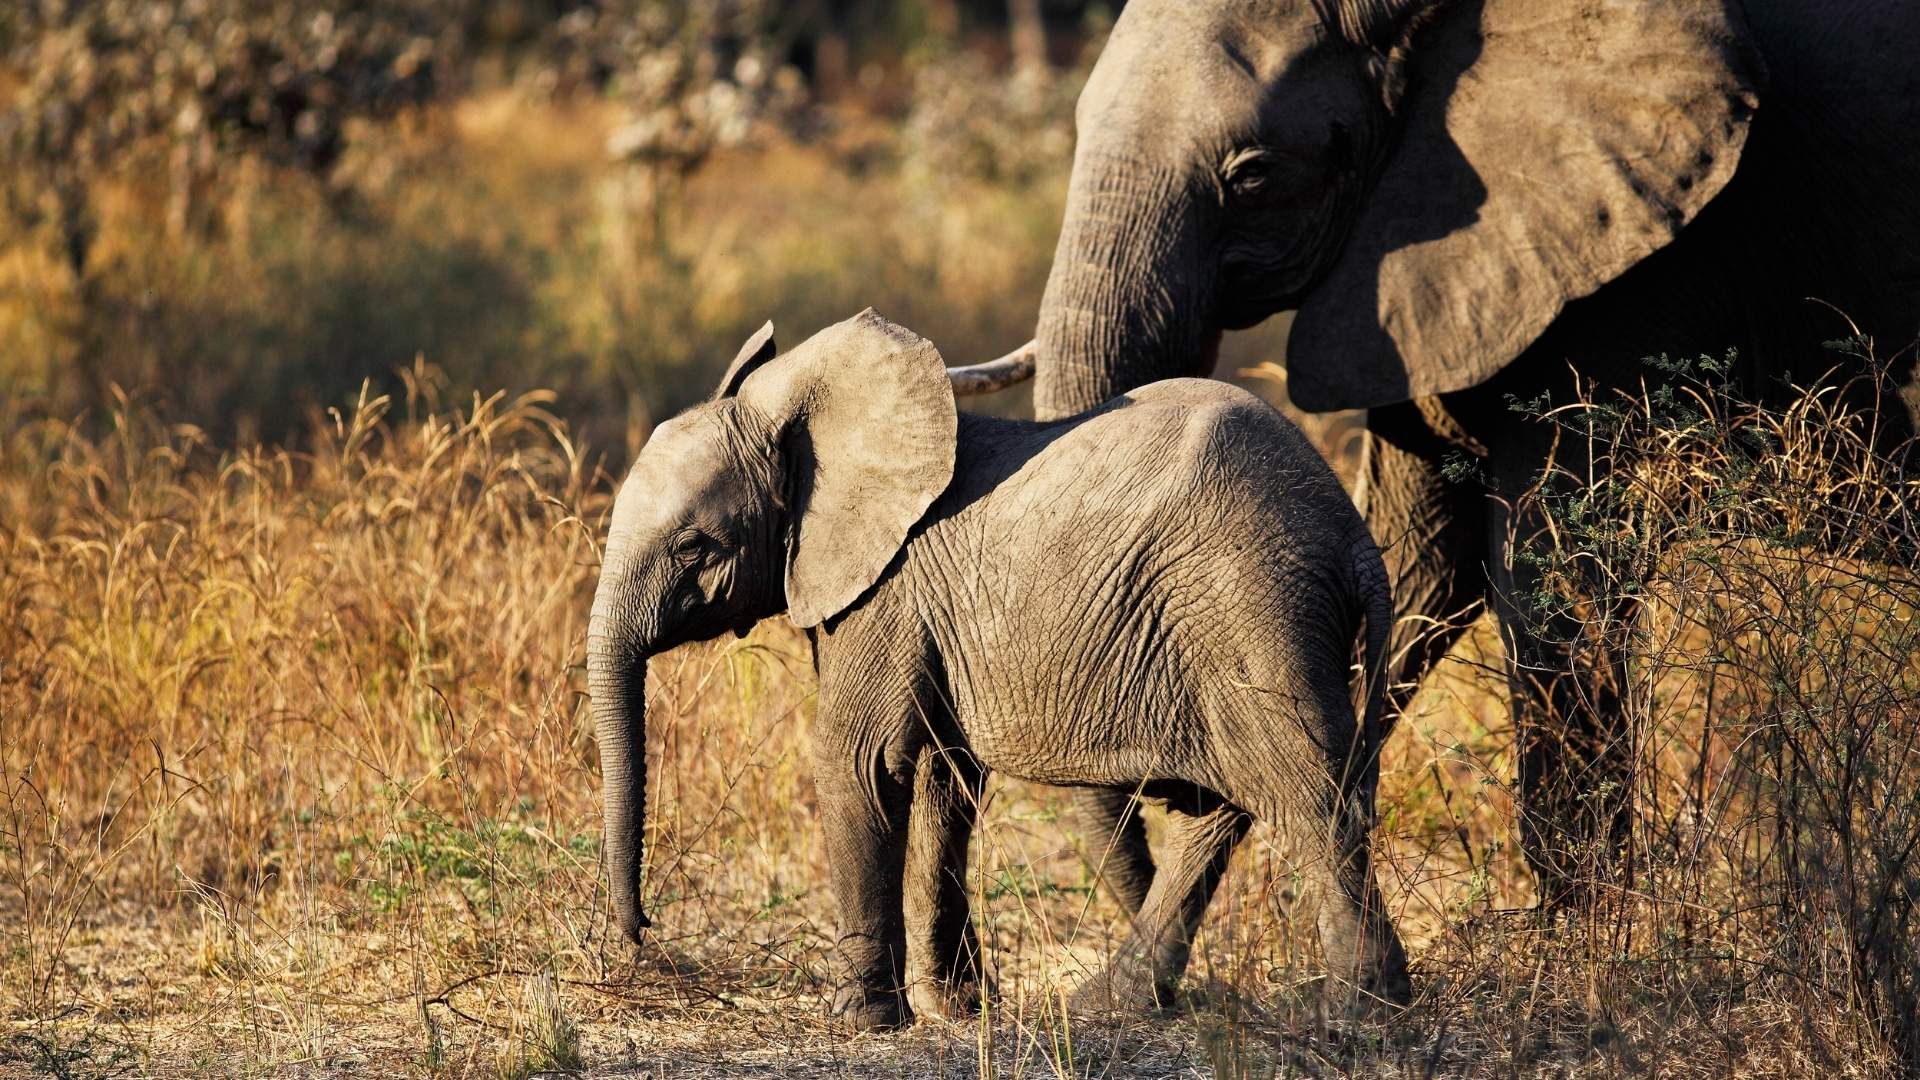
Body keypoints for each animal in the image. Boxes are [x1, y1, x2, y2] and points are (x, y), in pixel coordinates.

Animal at [588, 309, 1411, 1030]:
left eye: (695, 547)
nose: (643, 934)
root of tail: (1354, 539)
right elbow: (944, 779)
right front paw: (955, 1009)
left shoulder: (886, 589)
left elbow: (859, 763)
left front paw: (858, 1022)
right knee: (1223, 808)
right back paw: (1112, 1006)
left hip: (1253, 605)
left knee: (1312, 796)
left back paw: (1361, 1017)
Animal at [954, 0, 1920, 904]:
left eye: (1254, 175)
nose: (1165, 793)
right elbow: (1414, 561)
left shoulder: (1641, 263)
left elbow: (1548, 577)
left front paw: (1587, 936)